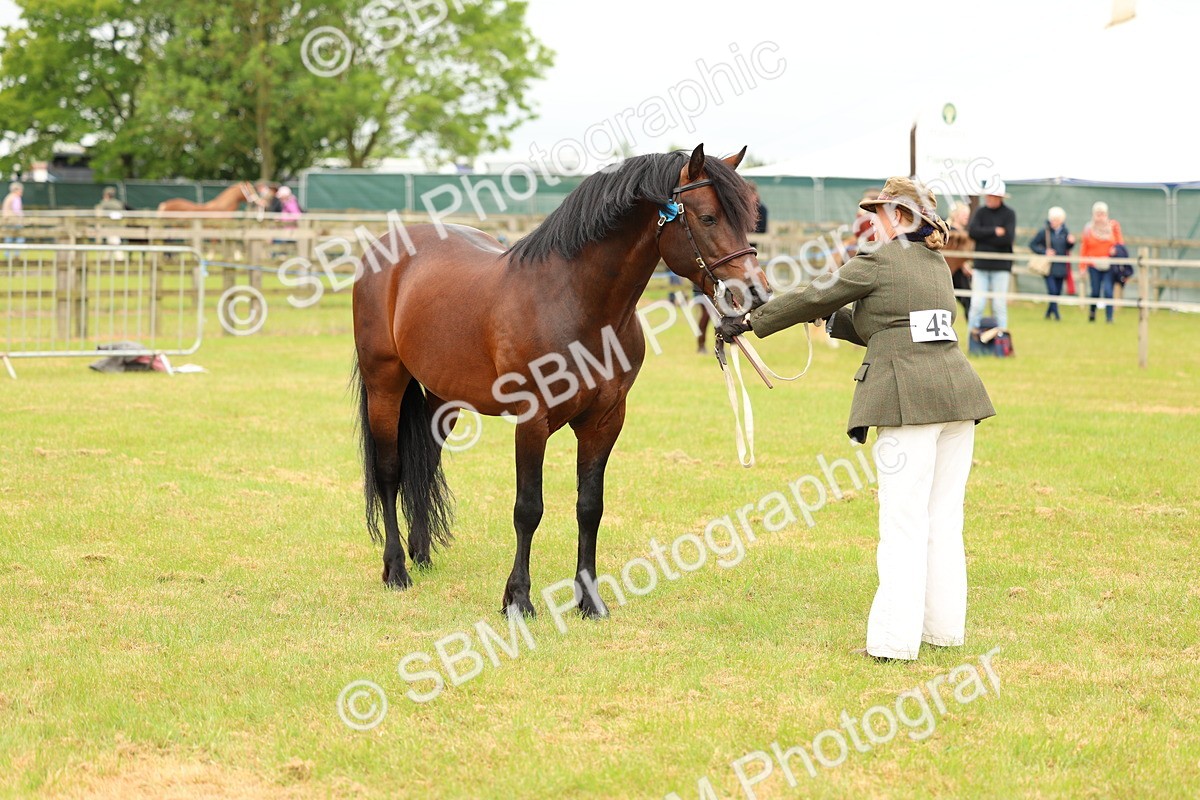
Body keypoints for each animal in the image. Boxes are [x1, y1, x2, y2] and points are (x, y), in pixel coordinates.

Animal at [351, 144, 769, 618]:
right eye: (709, 217)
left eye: (747, 218)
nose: (755, 293)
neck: (573, 300)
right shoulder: (532, 420)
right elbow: (528, 509)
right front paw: (518, 599)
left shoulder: (605, 420)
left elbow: (590, 507)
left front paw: (590, 600)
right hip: (385, 384)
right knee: (390, 472)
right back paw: (396, 570)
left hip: (444, 398)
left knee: (425, 464)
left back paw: (421, 555)